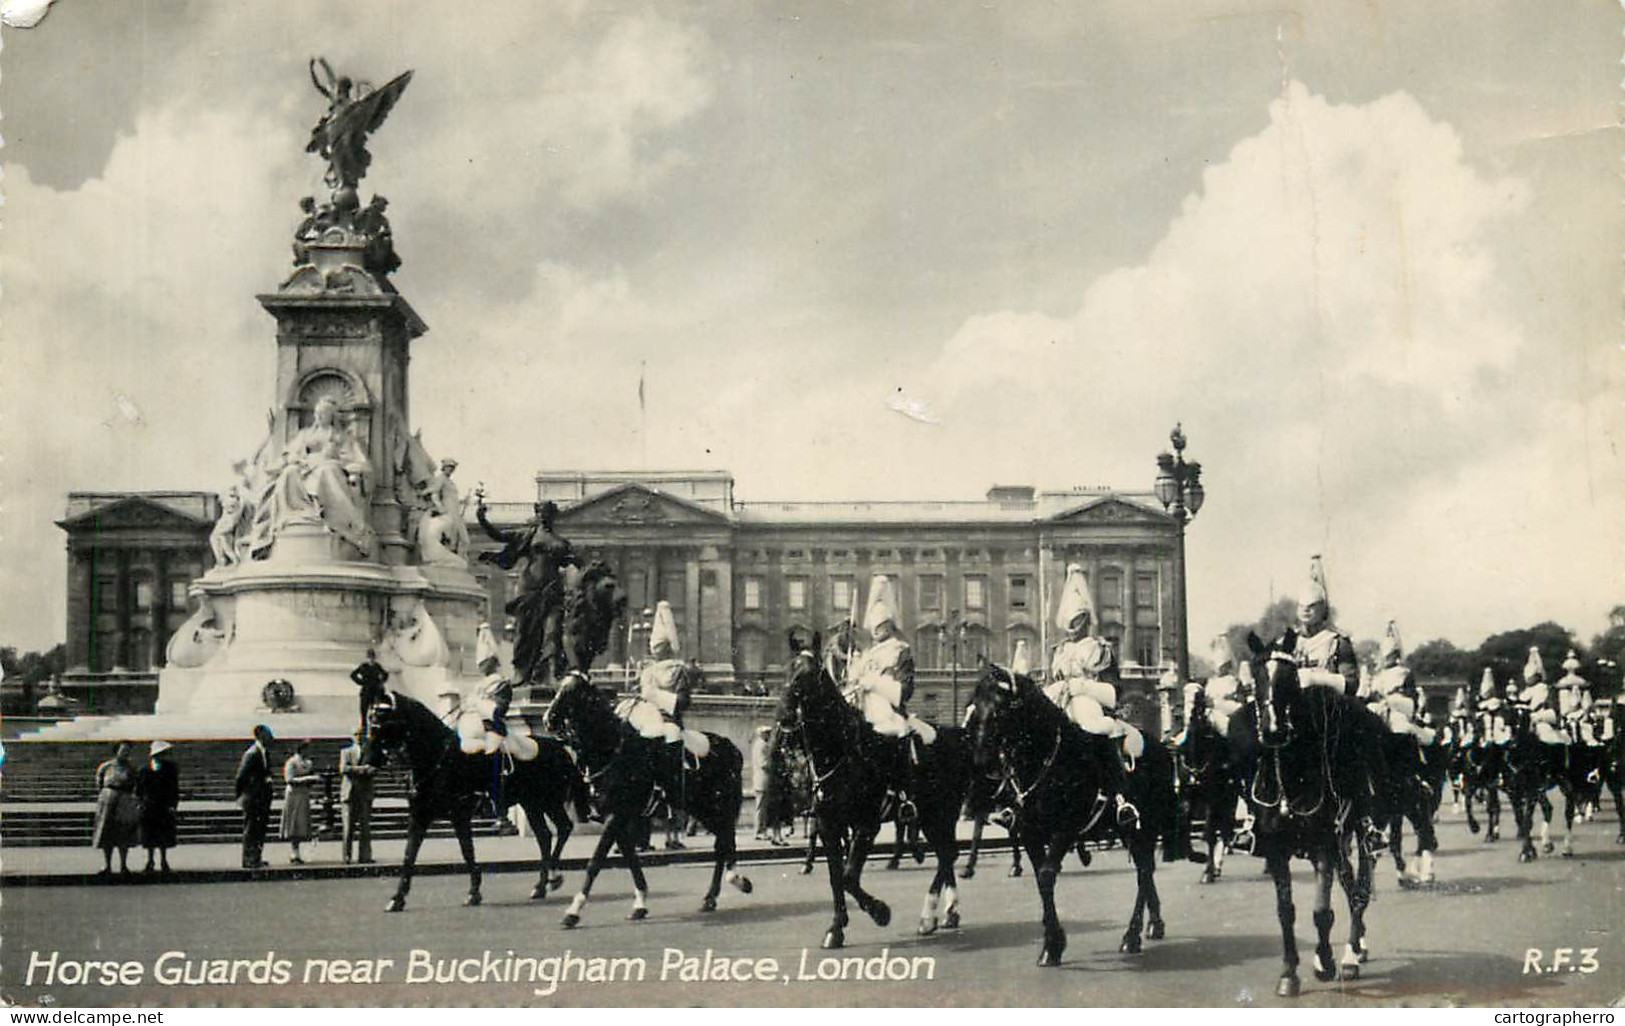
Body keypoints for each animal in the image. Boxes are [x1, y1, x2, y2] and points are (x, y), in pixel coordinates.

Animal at [367, 689, 585, 917]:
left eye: (382, 721)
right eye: (371, 720)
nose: (368, 760)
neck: (438, 758)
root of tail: (562, 749)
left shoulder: (459, 815)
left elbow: (467, 851)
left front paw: (473, 891)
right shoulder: (420, 816)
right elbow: (409, 855)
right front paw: (397, 898)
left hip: (549, 802)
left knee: (563, 828)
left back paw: (553, 876)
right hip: (532, 805)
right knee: (544, 836)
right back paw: (541, 885)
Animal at [542, 669, 750, 930]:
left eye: (575, 692)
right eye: (559, 687)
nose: (548, 719)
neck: (614, 751)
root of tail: (731, 747)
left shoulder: (616, 816)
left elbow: (595, 862)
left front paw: (573, 910)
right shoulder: (616, 818)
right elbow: (631, 859)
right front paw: (640, 903)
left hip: (718, 807)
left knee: (724, 842)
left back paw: (732, 883)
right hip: (702, 810)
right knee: (722, 842)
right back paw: (715, 894)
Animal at [776, 637, 968, 949]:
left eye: (810, 674)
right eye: (786, 670)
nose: (784, 719)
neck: (842, 753)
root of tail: (958, 735)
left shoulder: (866, 825)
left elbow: (848, 877)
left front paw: (880, 912)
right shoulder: (829, 825)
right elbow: (836, 878)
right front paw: (836, 928)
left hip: (940, 814)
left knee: (947, 854)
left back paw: (928, 916)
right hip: (933, 818)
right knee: (945, 855)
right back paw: (947, 913)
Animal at [962, 663, 1183, 969]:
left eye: (999, 709)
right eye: (973, 707)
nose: (980, 763)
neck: (1048, 761)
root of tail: (1161, 747)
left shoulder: (1064, 830)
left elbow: (1046, 876)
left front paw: (1052, 945)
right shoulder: (1030, 832)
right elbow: (1041, 880)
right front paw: (1052, 940)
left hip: (1144, 827)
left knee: (1143, 872)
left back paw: (1132, 935)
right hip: (1129, 830)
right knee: (1146, 871)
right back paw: (1154, 923)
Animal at [1241, 630, 1384, 1001]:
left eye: (1291, 678)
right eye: (1257, 677)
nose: (1274, 731)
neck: (1292, 775)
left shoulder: (1323, 846)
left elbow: (1321, 911)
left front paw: (1326, 963)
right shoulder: (1277, 850)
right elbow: (1285, 911)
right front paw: (1289, 973)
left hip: (1361, 832)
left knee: (1360, 889)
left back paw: (1350, 956)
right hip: (1342, 841)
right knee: (1350, 886)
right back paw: (1357, 946)